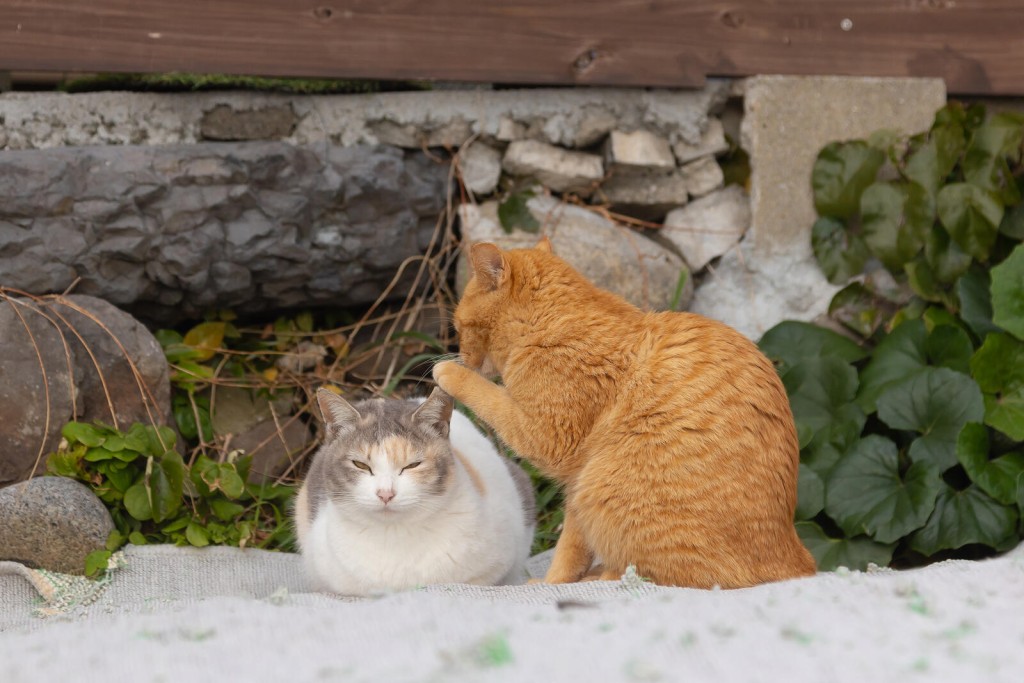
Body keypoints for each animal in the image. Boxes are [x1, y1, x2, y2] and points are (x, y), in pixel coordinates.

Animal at [432, 239, 815, 589]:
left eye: (459, 328)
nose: (460, 354)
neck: (553, 320)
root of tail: (795, 560)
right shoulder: (574, 479)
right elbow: (573, 545)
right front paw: (560, 579)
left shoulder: (551, 440)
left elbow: (487, 395)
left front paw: (448, 371)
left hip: (602, 485)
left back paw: (601, 576)